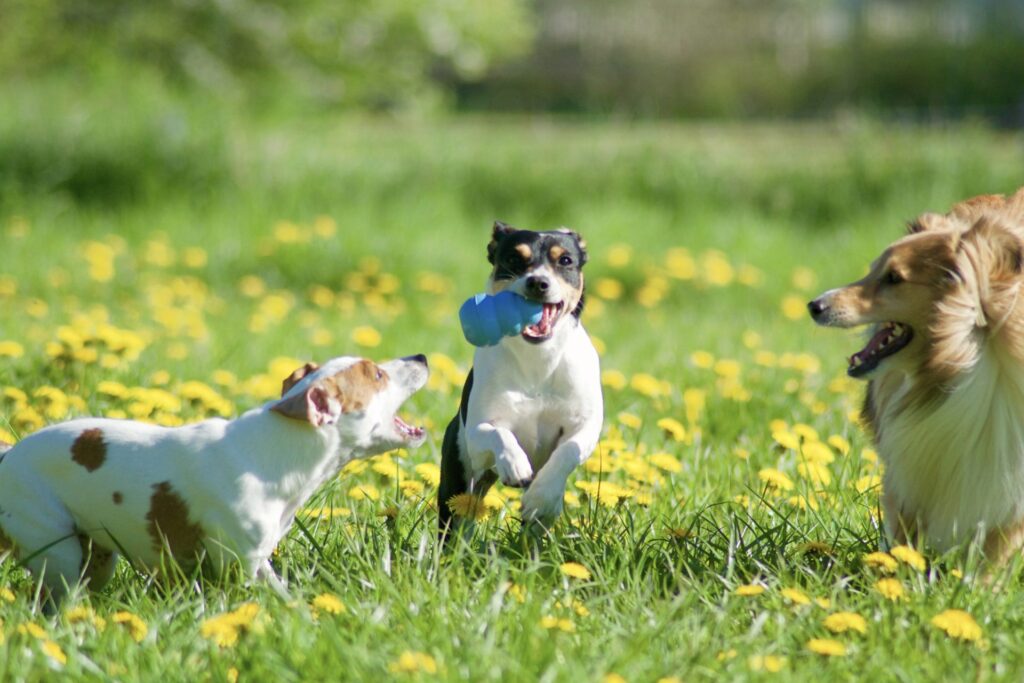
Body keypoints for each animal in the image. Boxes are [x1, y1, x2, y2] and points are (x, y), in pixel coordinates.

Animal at [0, 356, 428, 602]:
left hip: (98, 556)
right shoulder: (239, 562)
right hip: (56, 547)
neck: (280, 447)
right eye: (377, 374)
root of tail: (8, 454)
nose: (420, 356)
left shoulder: (259, 559)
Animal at [806, 188, 1024, 565]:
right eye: (872, 271)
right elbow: (904, 536)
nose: (814, 305)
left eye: (894, 278)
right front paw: (896, 573)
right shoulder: (913, 470)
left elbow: (990, 558)